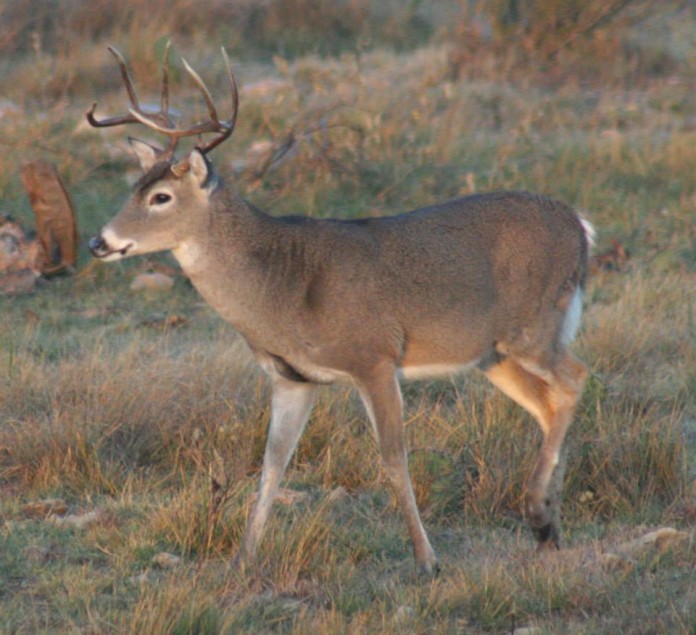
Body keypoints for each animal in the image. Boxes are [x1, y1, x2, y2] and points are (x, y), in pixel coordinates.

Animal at [87, 42, 592, 572]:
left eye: (161, 196)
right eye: (133, 188)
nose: (98, 242)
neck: (284, 287)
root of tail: (580, 225)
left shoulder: (374, 358)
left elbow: (392, 459)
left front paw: (426, 560)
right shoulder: (292, 378)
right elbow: (272, 465)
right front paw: (243, 558)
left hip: (534, 325)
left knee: (575, 379)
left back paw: (538, 513)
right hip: (491, 354)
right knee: (548, 405)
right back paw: (548, 527)